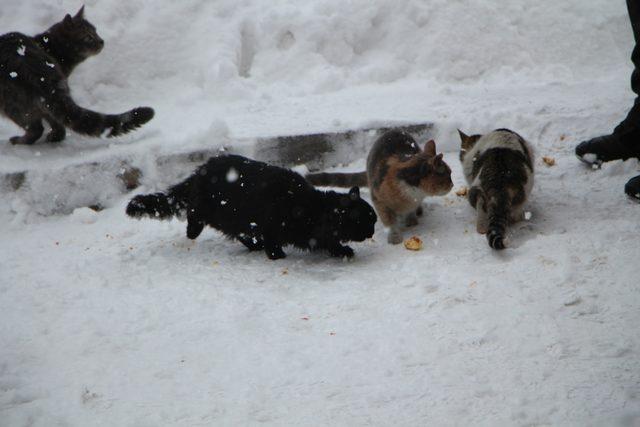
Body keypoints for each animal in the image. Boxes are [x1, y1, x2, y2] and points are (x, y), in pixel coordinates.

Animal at [0, 6, 154, 145]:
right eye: (88, 37)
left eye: (96, 31)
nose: (101, 41)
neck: (51, 48)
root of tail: (37, 70)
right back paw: (52, 137)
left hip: (13, 105)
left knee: (37, 128)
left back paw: (20, 141)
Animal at [125, 155, 378, 260]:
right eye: (367, 221)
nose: (373, 231)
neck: (312, 209)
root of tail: (201, 170)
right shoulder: (273, 225)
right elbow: (274, 244)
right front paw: (277, 256)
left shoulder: (312, 235)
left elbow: (327, 241)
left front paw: (342, 251)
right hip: (215, 210)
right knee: (195, 215)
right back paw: (193, 230)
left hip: (233, 218)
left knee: (237, 232)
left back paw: (254, 245)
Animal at [306, 130, 452, 244]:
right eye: (448, 175)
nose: (452, 184)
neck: (415, 194)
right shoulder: (379, 200)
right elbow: (389, 221)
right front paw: (395, 236)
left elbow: (411, 211)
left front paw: (411, 219)